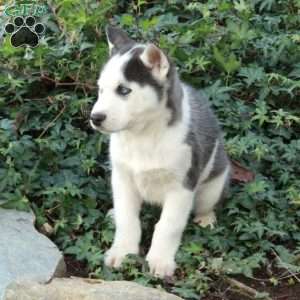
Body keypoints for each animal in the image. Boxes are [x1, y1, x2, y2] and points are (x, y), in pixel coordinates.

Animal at [90, 26, 231, 278]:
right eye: (101, 90)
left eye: (124, 90)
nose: (94, 118)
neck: (143, 136)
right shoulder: (122, 178)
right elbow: (128, 219)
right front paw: (122, 251)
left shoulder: (182, 187)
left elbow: (168, 225)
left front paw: (160, 260)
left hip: (213, 185)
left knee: (207, 203)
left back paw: (206, 217)